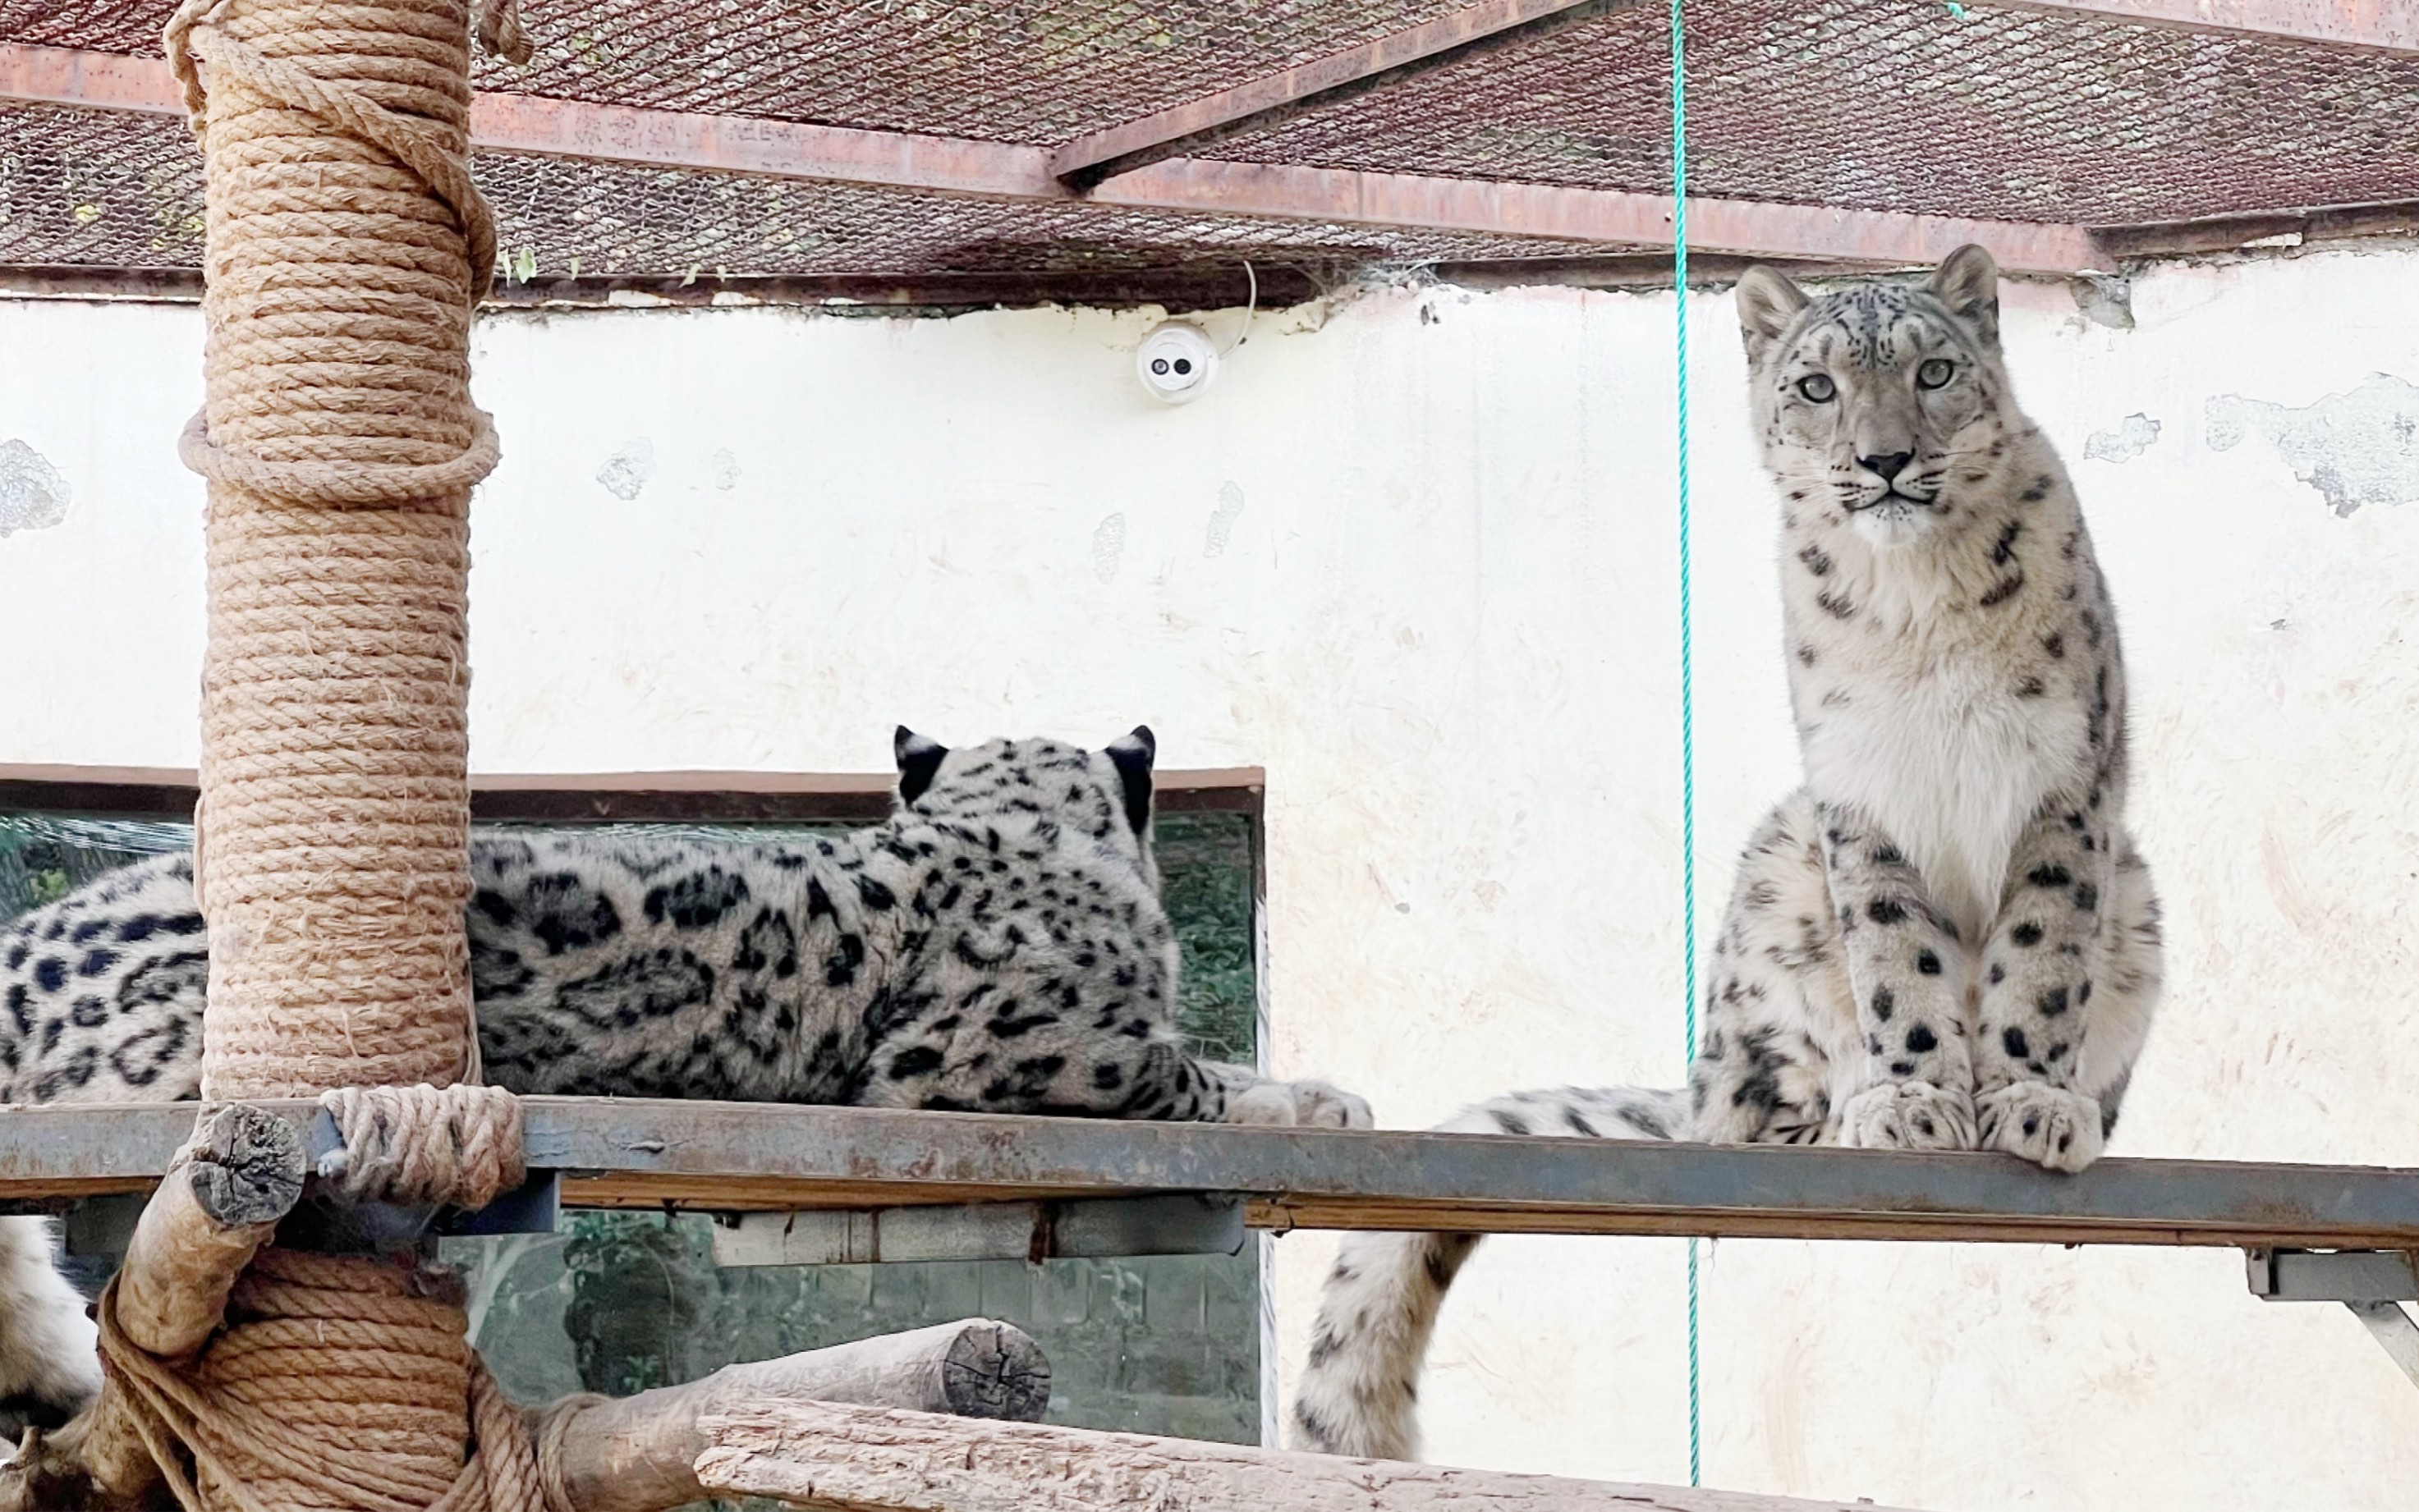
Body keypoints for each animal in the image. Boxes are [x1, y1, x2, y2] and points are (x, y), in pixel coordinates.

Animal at [1297, 248, 2167, 1461]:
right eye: (1816, 386)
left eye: (1933, 371)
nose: (1884, 458)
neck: (1922, 601)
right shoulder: (1858, 797)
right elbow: (1897, 961)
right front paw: (1911, 1098)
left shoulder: (2062, 785)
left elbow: (2040, 956)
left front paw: (2031, 1100)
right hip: (1774, 887)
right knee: (1748, 1108)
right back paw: (1840, 1113)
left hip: (2135, 899)